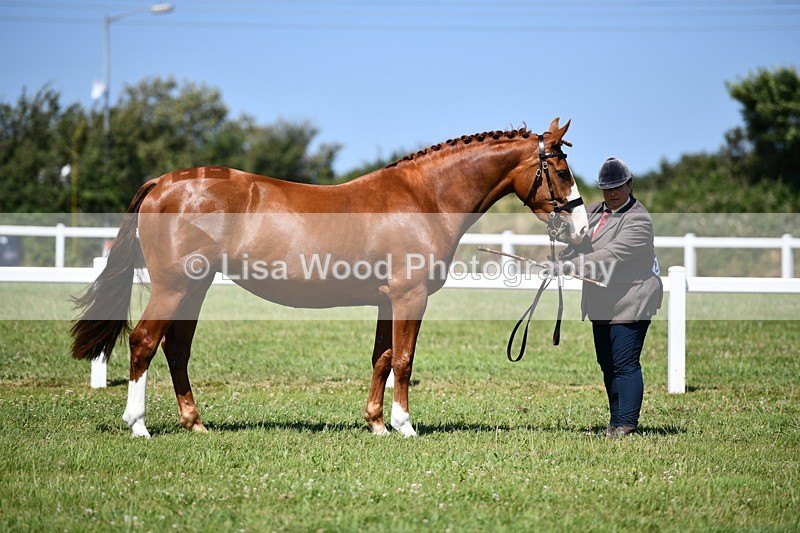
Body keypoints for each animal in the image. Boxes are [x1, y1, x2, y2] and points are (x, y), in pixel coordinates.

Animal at [71, 117, 588, 438]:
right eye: (562, 171)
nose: (581, 231)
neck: (424, 197)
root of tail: (163, 182)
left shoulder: (386, 300)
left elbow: (382, 358)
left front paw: (376, 423)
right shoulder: (410, 297)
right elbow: (404, 361)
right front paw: (405, 425)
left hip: (194, 289)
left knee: (176, 349)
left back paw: (195, 423)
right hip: (174, 287)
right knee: (144, 342)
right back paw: (138, 424)